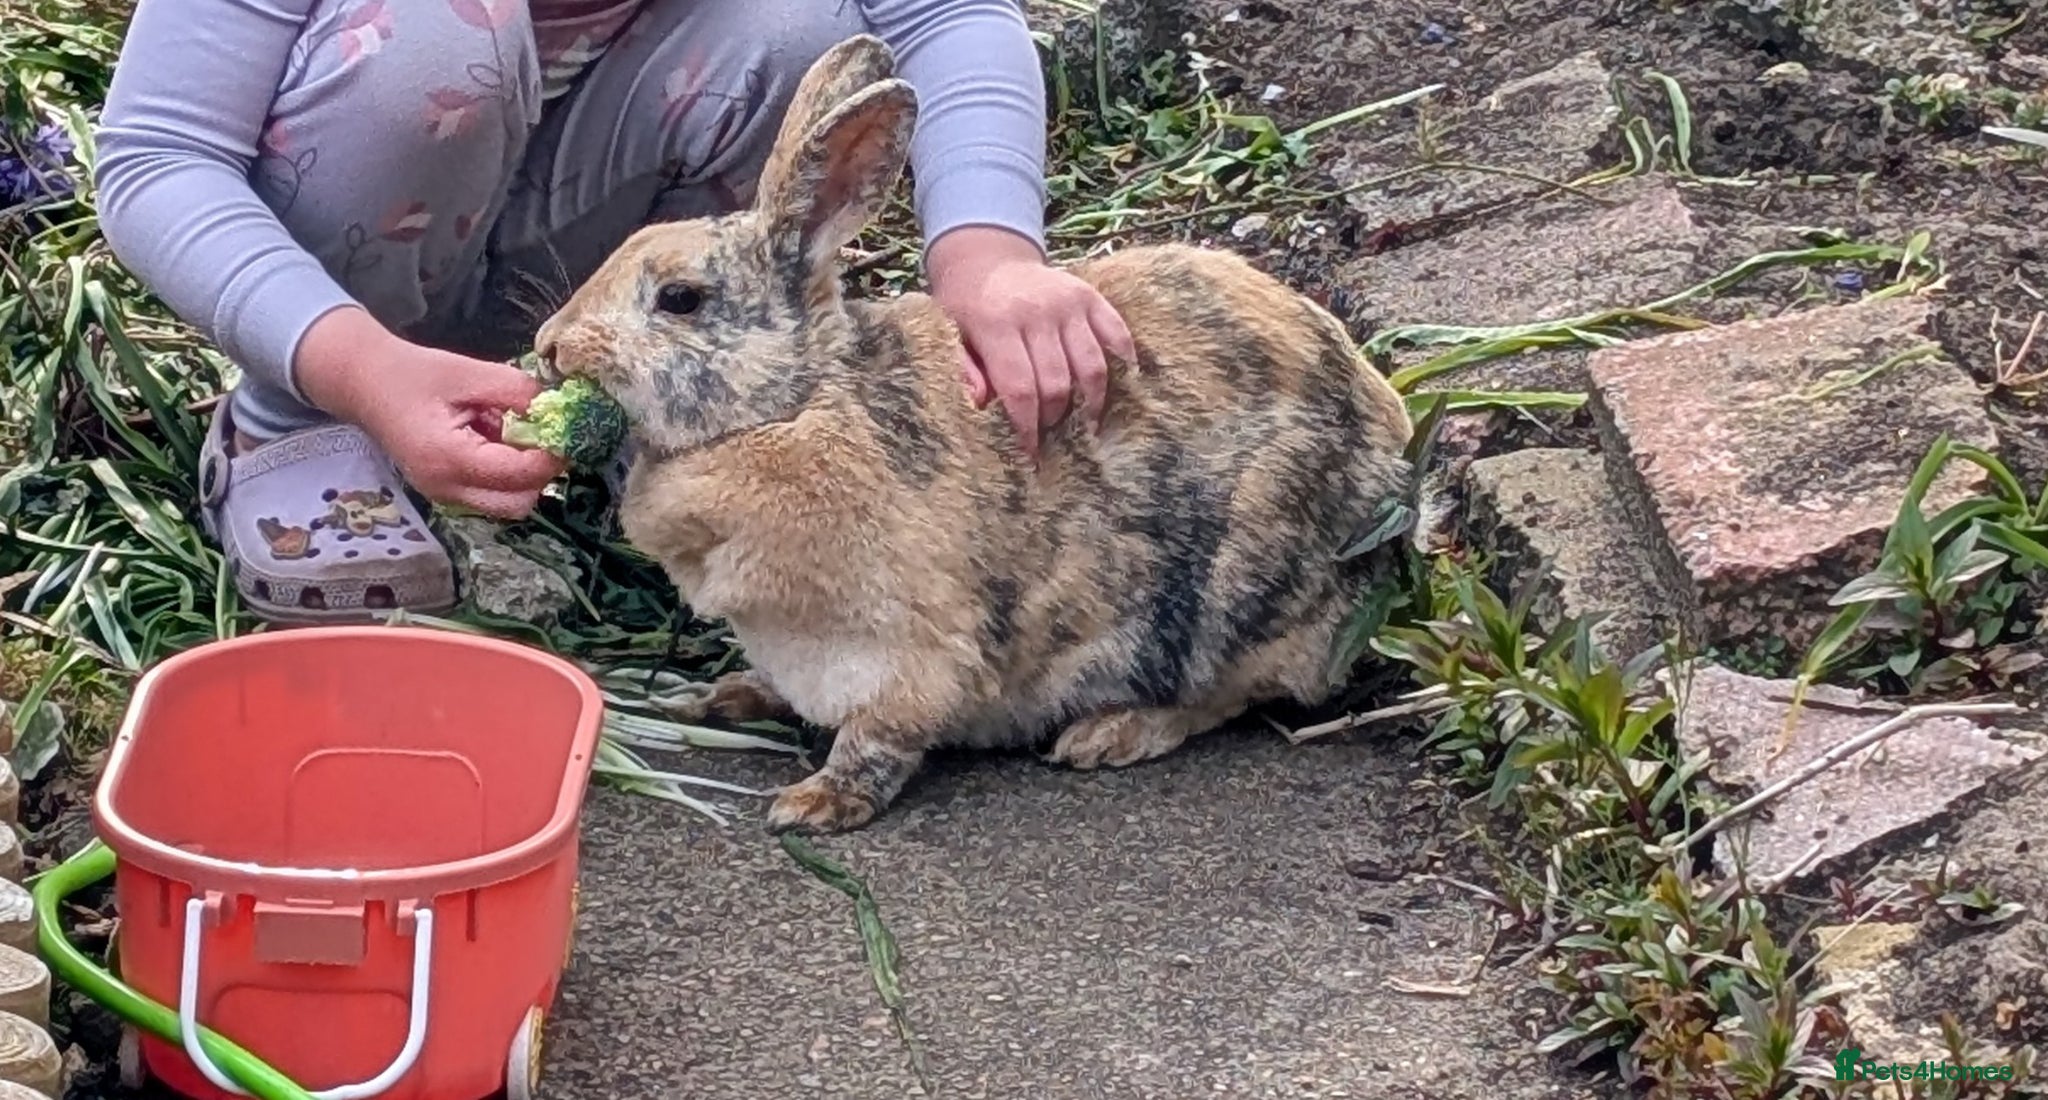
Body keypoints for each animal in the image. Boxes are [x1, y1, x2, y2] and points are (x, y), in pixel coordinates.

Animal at [530, 34, 1419, 835]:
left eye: (680, 299)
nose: (550, 345)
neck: (795, 403)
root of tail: (1397, 476)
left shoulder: (909, 652)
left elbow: (880, 738)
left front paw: (813, 805)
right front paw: (720, 695)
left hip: (1233, 599)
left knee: (1232, 692)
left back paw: (1108, 733)